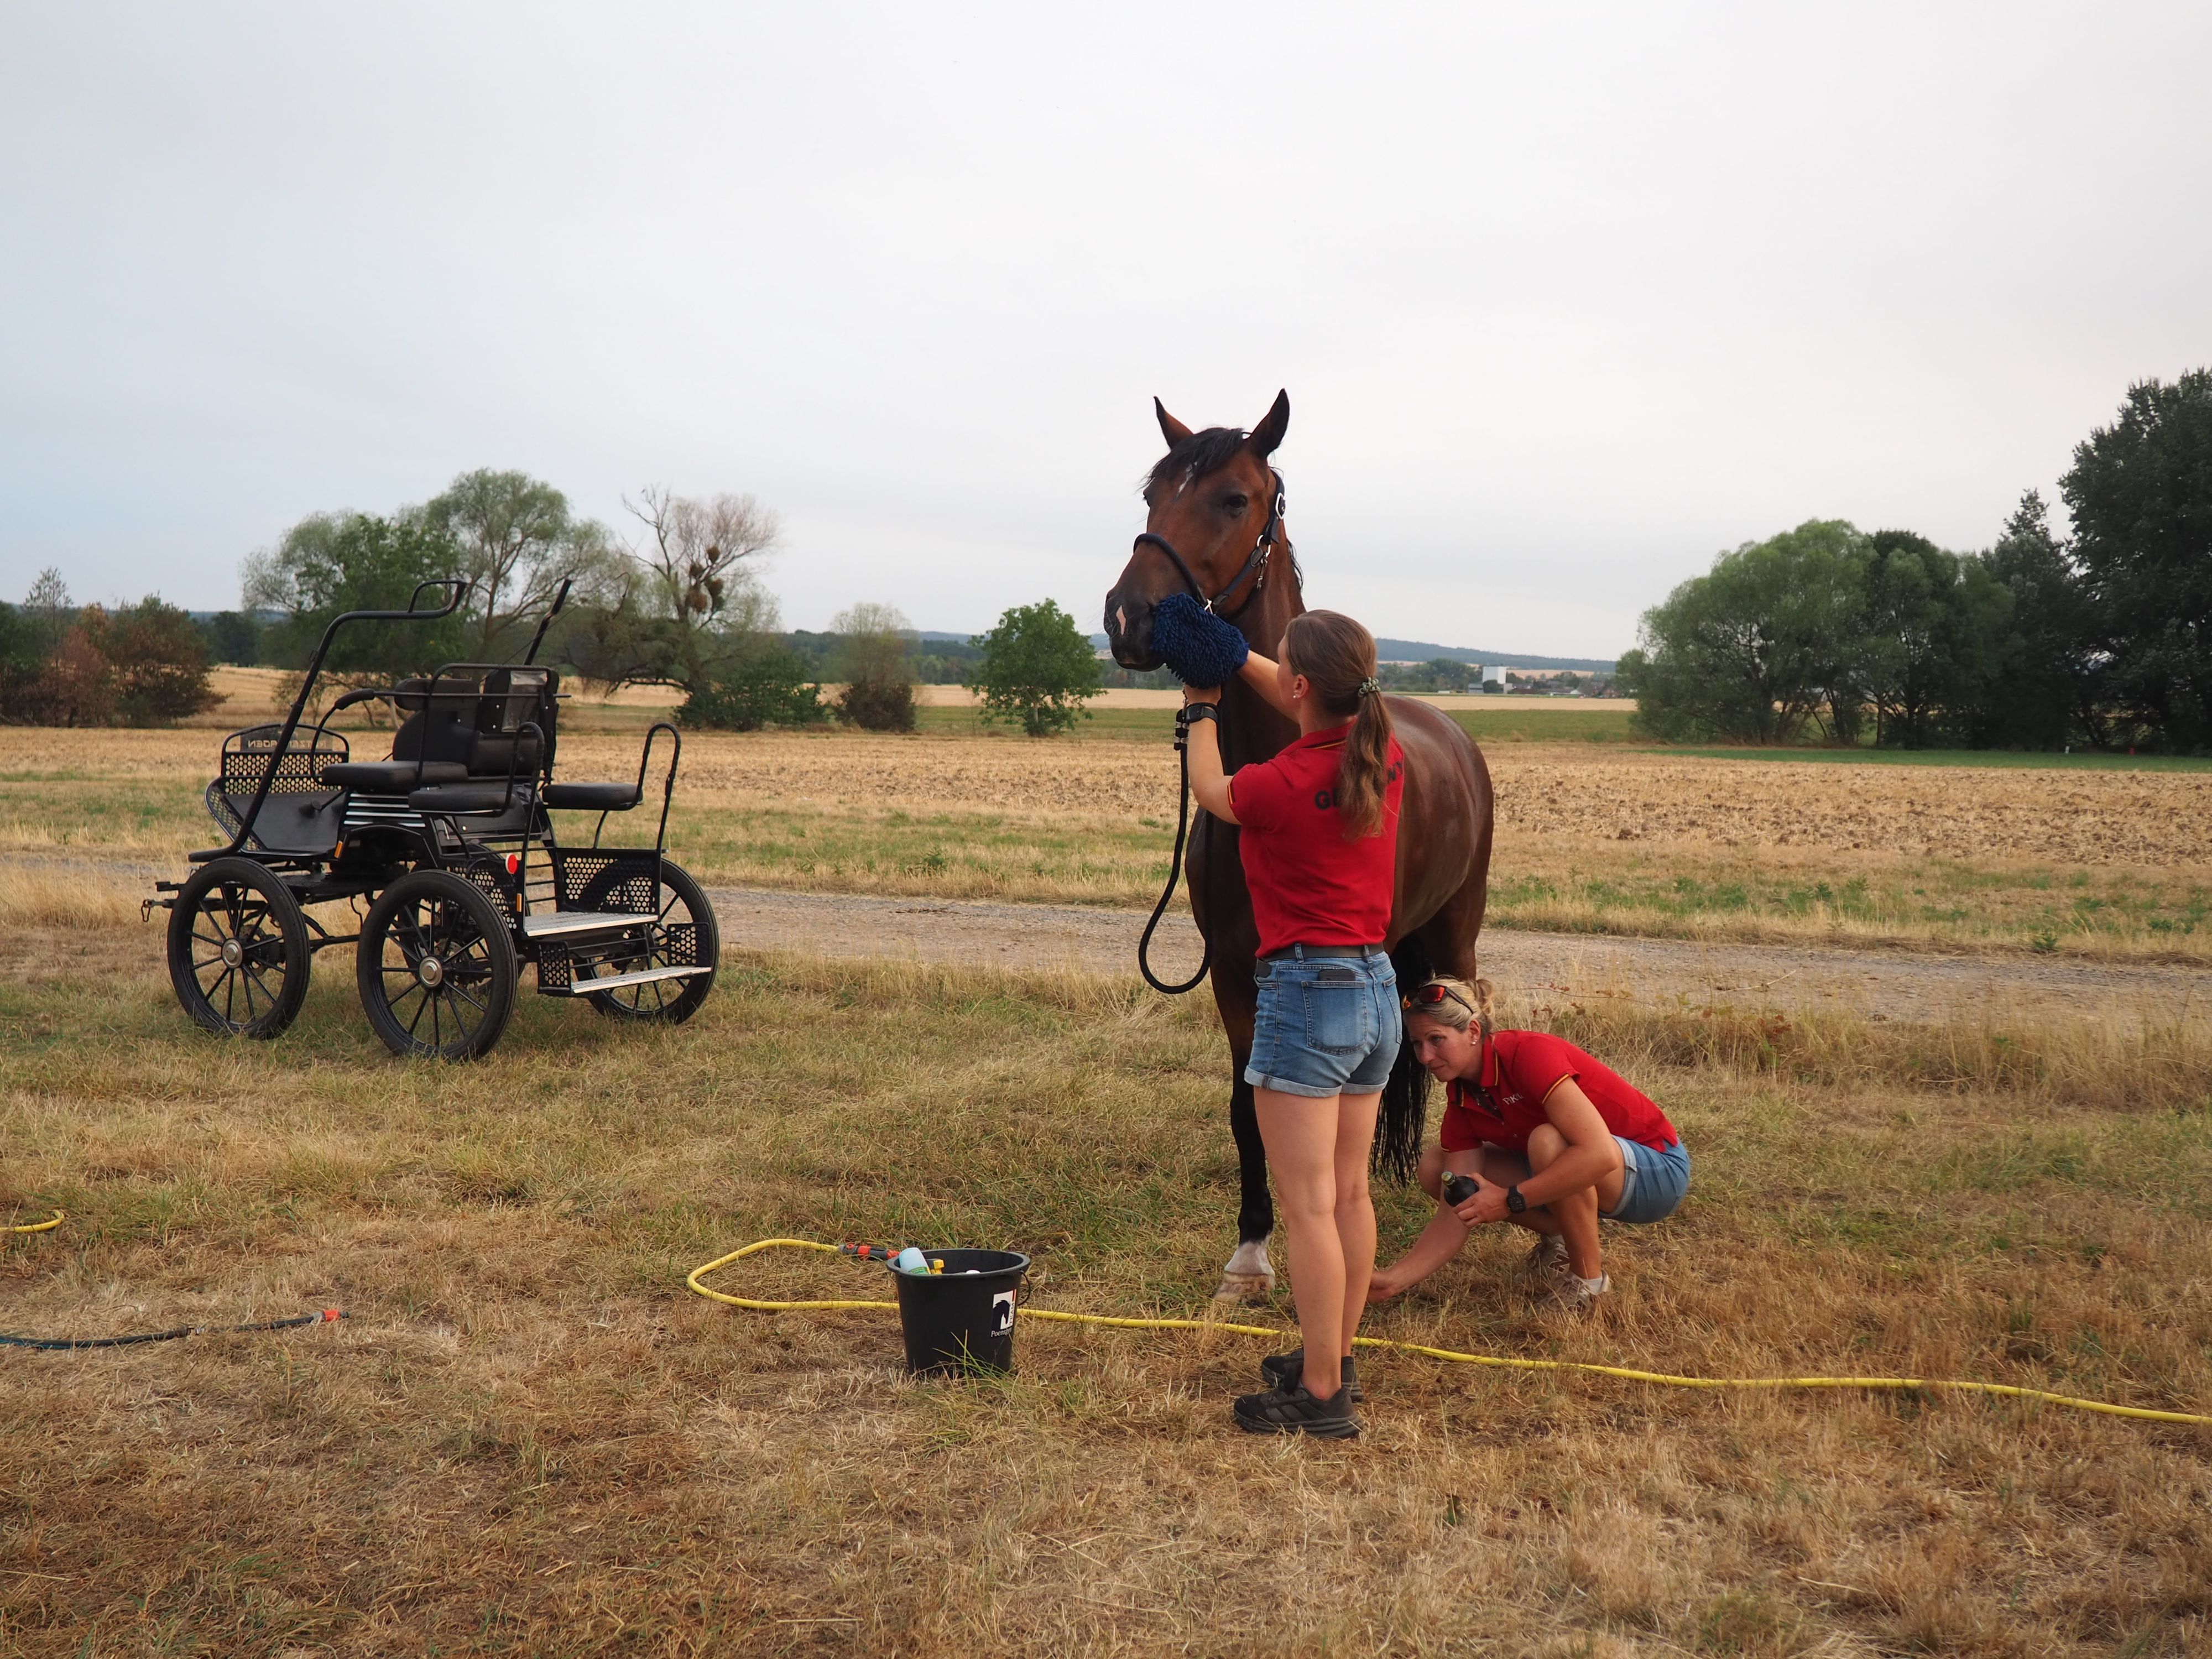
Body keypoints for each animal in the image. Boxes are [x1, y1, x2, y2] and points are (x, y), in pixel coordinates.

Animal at [1103, 390, 1496, 1301]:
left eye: (1234, 499)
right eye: (1151, 496)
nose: (1128, 617)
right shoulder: (1235, 972)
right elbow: (1248, 1109)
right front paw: (1251, 1250)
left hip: (1452, 934)